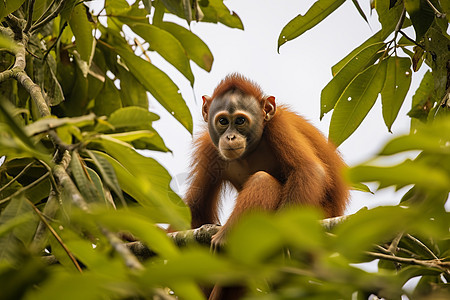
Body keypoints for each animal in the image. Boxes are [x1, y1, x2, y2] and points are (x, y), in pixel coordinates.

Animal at [185, 74, 350, 298]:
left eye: (240, 121)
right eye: (223, 121)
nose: (230, 137)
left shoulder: (279, 126)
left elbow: (308, 170)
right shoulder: (208, 149)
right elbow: (197, 207)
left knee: (263, 180)